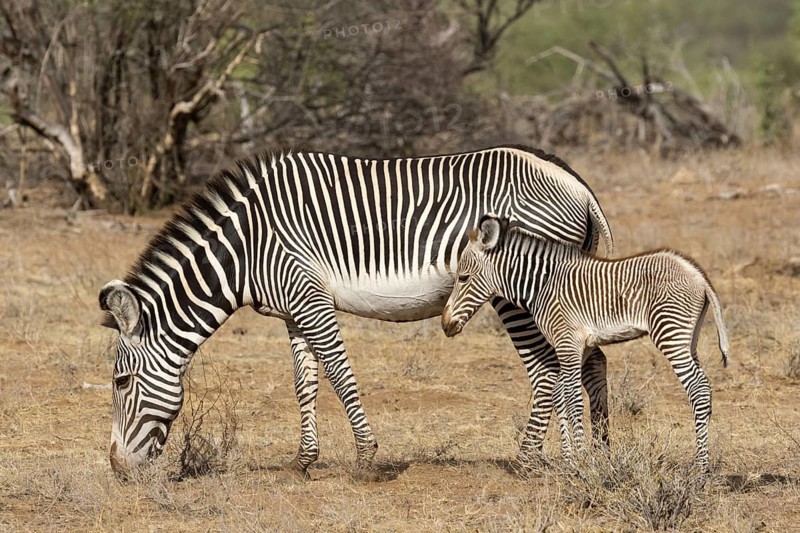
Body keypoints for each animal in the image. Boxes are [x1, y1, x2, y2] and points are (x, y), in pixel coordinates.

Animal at [99, 145, 615, 477]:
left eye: (120, 382)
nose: (118, 469)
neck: (246, 248)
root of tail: (575, 182)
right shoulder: (292, 308)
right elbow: (305, 382)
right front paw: (304, 461)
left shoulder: (310, 297)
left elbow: (340, 374)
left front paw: (365, 458)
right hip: (566, 287)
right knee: (588, 364)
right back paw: (591, 456)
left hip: (521, 292)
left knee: (547, 369)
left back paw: (532, 460)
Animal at [441, 214, 729, 469]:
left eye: (463, 278)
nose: (445, 324)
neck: (542, 285)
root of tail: (698, 274)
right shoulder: (580, 346)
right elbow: (560, 395)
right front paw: (570, 459)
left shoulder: (567, 342)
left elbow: (572, 398)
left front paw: (581, 459)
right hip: (688, 338)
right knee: (704, 387)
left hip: (670, 334)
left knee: (698, 389)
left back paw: (700, 467)